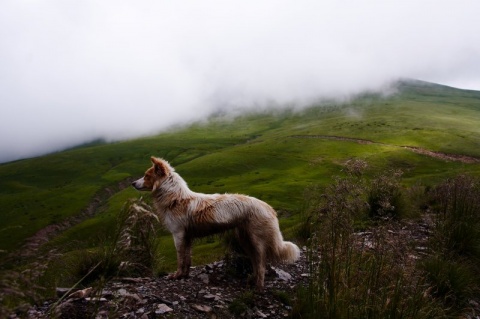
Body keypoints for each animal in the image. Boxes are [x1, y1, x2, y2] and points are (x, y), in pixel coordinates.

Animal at [131, 158, 300, 290]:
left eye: (146, 176)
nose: (132, 183)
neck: (175, 198)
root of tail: (268, 207)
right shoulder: (187, 237)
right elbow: (187, 259)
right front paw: (184, 275)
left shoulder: (178, 235)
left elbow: (180, 258)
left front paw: (177, 275)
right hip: (245, 240)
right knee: (255, 262)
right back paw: (251, 280)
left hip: (256, 241)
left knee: (261, 264)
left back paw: (258, 286)